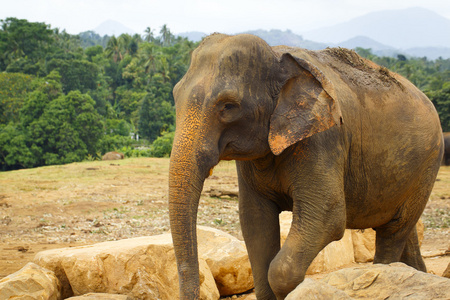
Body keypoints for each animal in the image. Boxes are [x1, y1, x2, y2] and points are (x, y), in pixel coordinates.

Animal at [167, 33, 442, 300]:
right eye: (175, 96)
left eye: (228, 106)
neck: (277, 56)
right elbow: (255, 220)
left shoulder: (323, 138)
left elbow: (328, 216)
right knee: (404, 229)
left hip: (428, 164)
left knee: (394, 231)